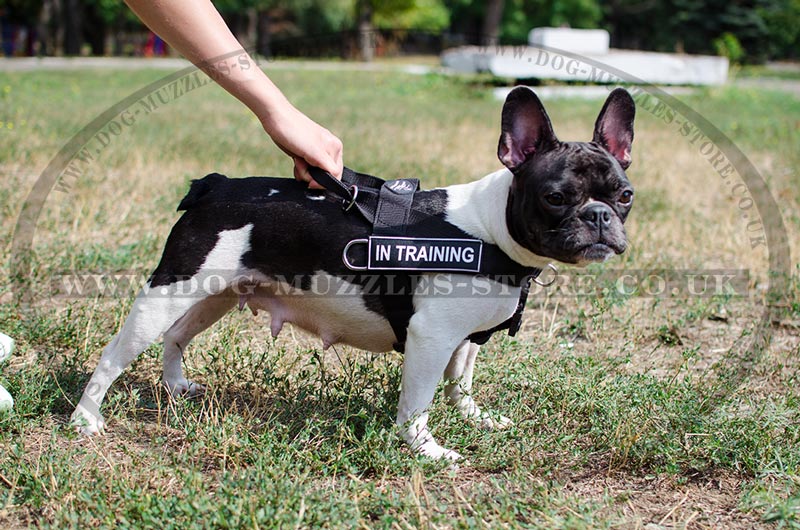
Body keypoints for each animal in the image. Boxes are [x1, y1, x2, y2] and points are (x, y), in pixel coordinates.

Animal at [75, 86, 636, 458]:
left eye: (625, 195)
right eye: (556, 198)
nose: (599, 217)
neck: (491, 230)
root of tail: (217, 185)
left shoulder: (465, 338)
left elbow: (461, 380)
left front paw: (474, 417)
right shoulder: (431, 336)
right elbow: (418, 402)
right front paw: (425, 450)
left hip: (214, 293)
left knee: (176, 336)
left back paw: (175, 386)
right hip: (168, 291)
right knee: (115, 354)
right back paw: (87, 418)